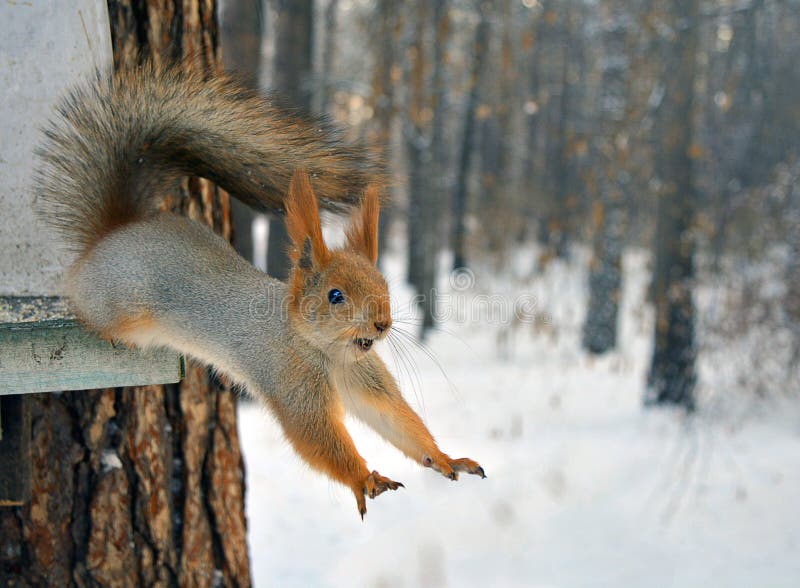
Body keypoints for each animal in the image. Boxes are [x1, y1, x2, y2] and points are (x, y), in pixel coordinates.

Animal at [35, 64, 485, 518]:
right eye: (335, 296)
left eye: (384, 285)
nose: (382, 324)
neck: (328, 353)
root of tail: (112, 235)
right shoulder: (292, 384)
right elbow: (318, 438)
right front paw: (364, 478)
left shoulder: (367, 379)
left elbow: (397, 420)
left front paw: (445, 458)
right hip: (116, 301)